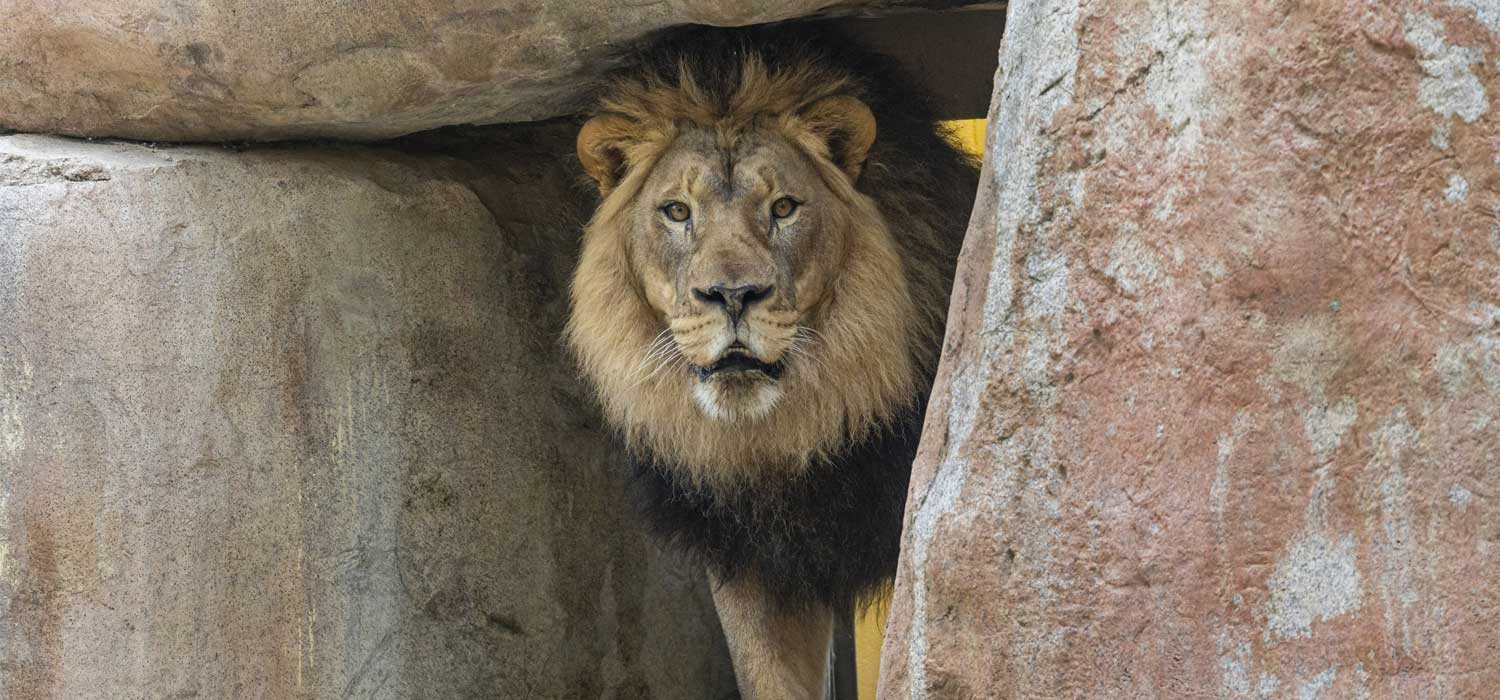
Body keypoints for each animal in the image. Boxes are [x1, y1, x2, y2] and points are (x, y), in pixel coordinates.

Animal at [567, 24, 978, 698]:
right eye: (677, 212)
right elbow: (766, 676)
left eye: (784, 207)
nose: (733, 296)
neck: (781, 437)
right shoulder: (753, 562)